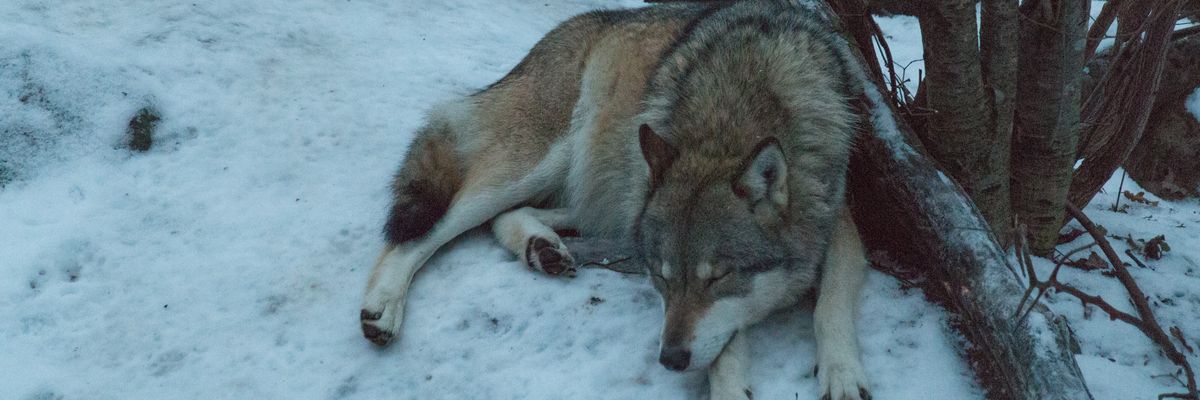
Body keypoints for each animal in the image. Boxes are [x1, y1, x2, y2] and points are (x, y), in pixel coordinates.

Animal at [360, 1, 871, 398]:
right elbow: (725, 342)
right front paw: (730, 386)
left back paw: (540, 248)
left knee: (508, 217)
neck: (735, 112)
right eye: (662, 277)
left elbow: (831, 302)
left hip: (617, 194)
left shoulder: (840, 219)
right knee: (422, 234)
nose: (670, 359)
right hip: (542, 166)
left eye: (719, 276)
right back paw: (383, 307)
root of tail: (568, 29)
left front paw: (843, 375)